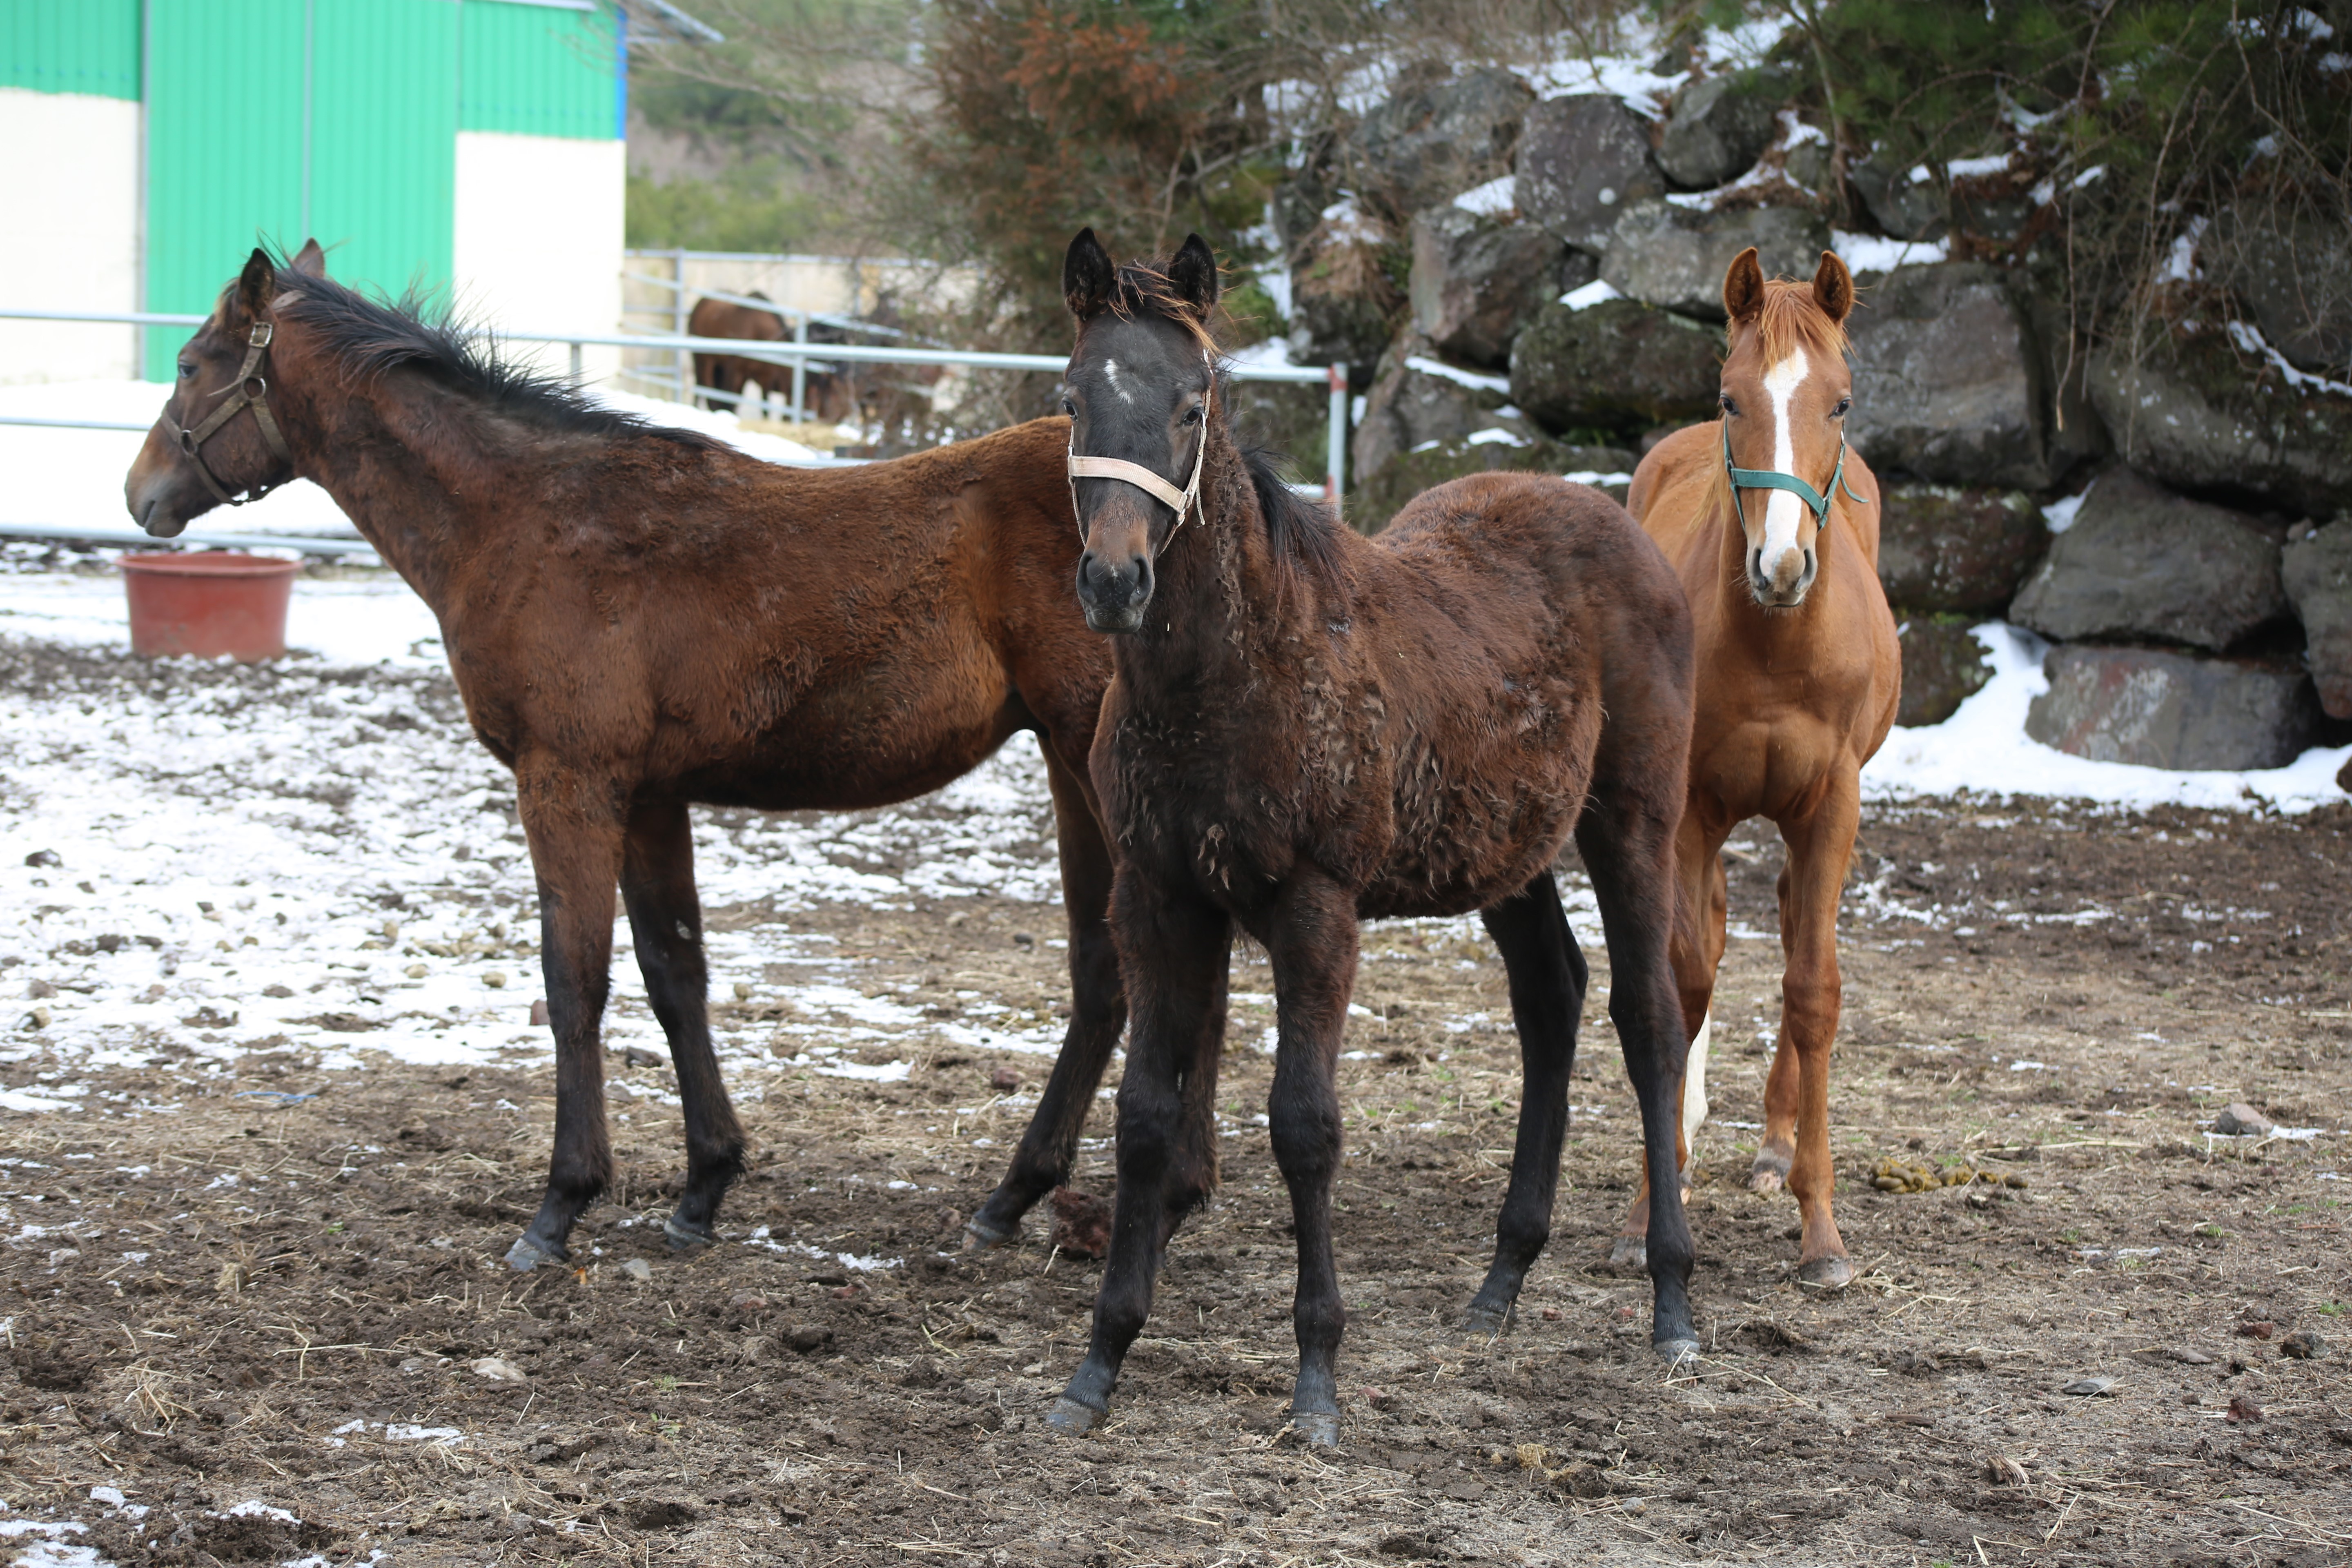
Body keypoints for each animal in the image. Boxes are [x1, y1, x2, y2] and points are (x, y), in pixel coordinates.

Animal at [1618, 248, 1910, 1288]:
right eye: (1729, 398)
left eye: (1839, 402)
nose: (1780, 565)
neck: (1777, 644)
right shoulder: (1692, 806)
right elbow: (1684, 979)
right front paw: (1650, 1201)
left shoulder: (1831, 806)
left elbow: (1813, 989)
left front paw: (1820, 1230)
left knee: (1786, 927)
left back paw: (1776, 1144)